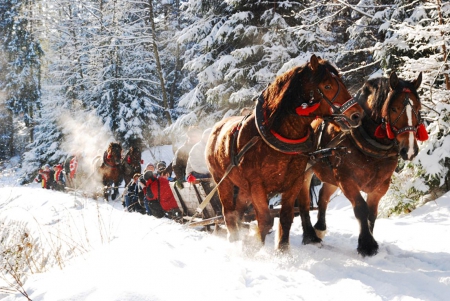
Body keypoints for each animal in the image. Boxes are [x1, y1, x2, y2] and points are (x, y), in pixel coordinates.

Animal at [206, 54, 364, 251]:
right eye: (327, 86)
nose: (357, 115)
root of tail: (216, 128)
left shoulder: (294, 182)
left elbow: (286, 218)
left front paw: (283, 252)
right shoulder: (257, 185)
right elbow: (265, 220)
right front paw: (253, 249)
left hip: (242, 187)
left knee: (239, 211)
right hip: (223, 181)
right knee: (228, 212)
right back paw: (234, 240)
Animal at [300, 71, 428, 255]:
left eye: (418, 109)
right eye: (394, 108)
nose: (409, 149)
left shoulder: (381, 185)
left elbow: (372, 213)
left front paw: (369, 239)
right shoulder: (347, 180)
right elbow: (361, 209)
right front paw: (367, 245)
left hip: (331, 176)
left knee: (323, 196)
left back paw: (320, 228)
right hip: (305, 172)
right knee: (303, 201)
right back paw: (310, 236)